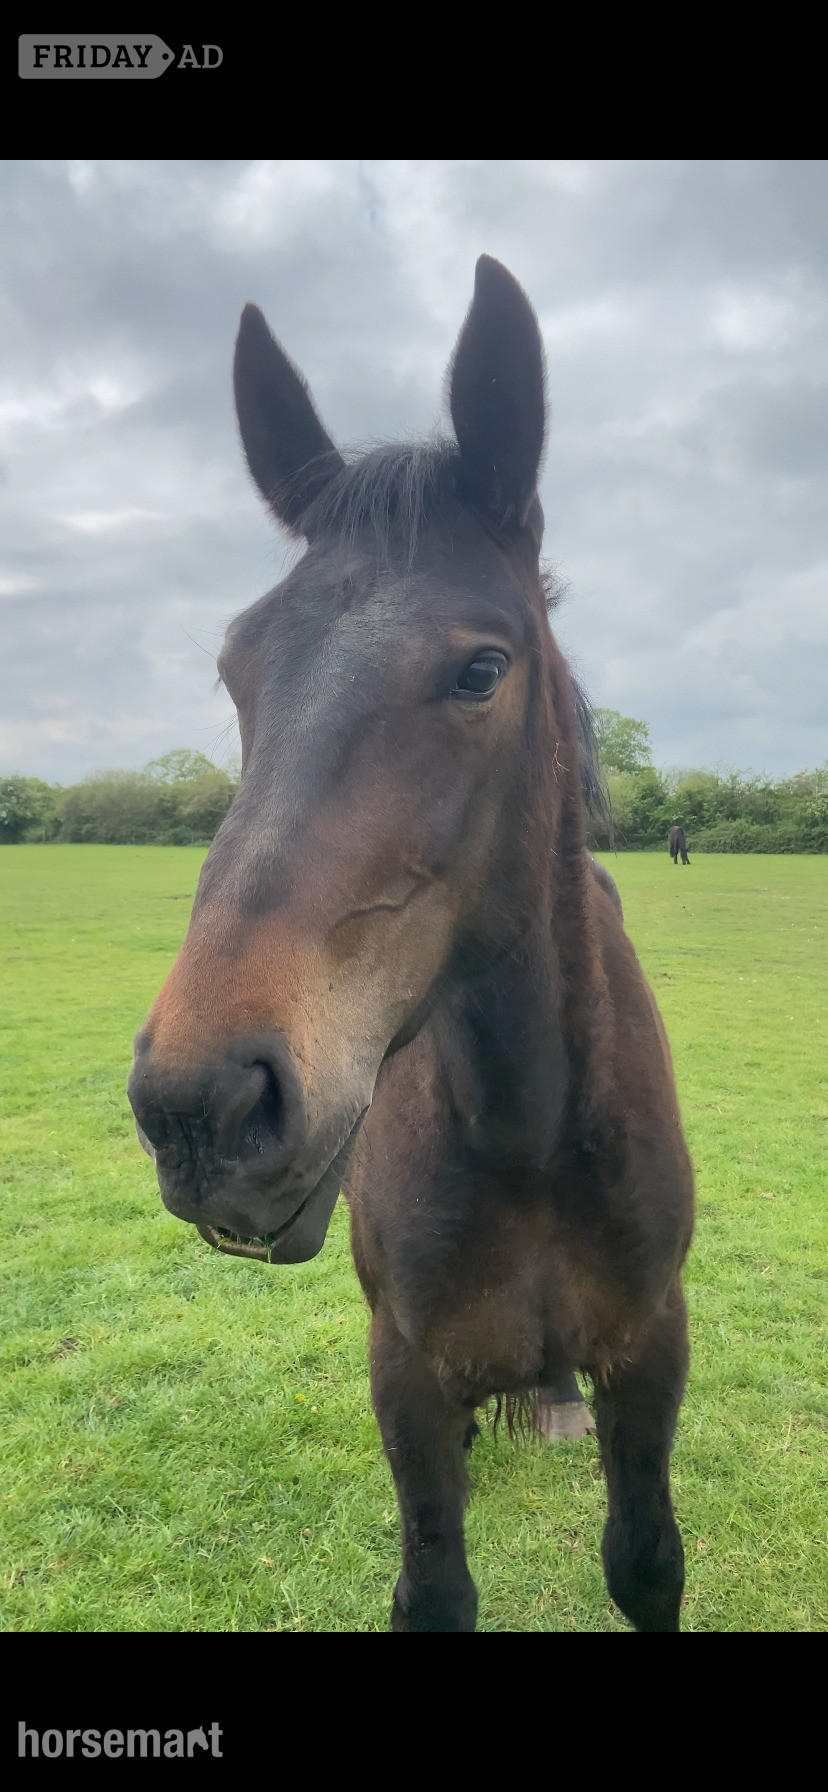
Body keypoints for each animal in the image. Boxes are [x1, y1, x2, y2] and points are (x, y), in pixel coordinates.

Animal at [128, 256, 695, 1632]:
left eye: (483, 669)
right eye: (238, 671)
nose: (202, 1108)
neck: (533, 1136)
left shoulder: (654, 1349)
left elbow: (646, 1557)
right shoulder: (409, 1374)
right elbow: (434, 1584)